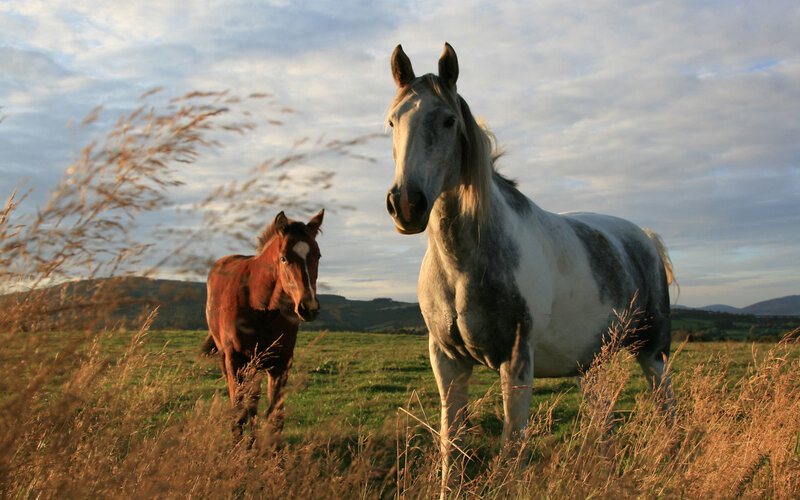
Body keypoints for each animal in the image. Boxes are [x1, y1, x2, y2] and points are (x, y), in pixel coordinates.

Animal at [202, 209, 324, 444]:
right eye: (283, 258)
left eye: (318, 255)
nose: (309, 308)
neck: (260, 306)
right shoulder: (235, 359)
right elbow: (238, 410)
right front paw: (239, 447)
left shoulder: (281, 361)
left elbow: (275, 415)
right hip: (230, 358)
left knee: (254, 399)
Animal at [386, 43, 675, 490]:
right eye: (392, 121)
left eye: (448, 120)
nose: (406, 205)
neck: (463, 267)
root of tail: (642, 236)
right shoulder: (447, 361)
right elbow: (452, 447)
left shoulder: (517, 361)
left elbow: (513, 450)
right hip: (591, 365)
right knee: (604, 422)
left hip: (653, 352)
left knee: (667, 411)